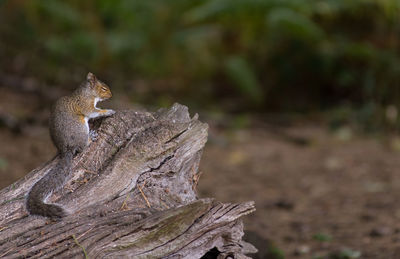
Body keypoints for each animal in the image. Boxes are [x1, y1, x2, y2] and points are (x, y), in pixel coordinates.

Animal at [25, 72, 115, 219]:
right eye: (103, 88)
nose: (111, 95)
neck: (87, 93)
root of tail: (65, 148)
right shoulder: (85, 105)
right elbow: (93, 112)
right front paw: (108, 111)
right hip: (80, 126)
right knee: (82, 147)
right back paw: (90, 138)